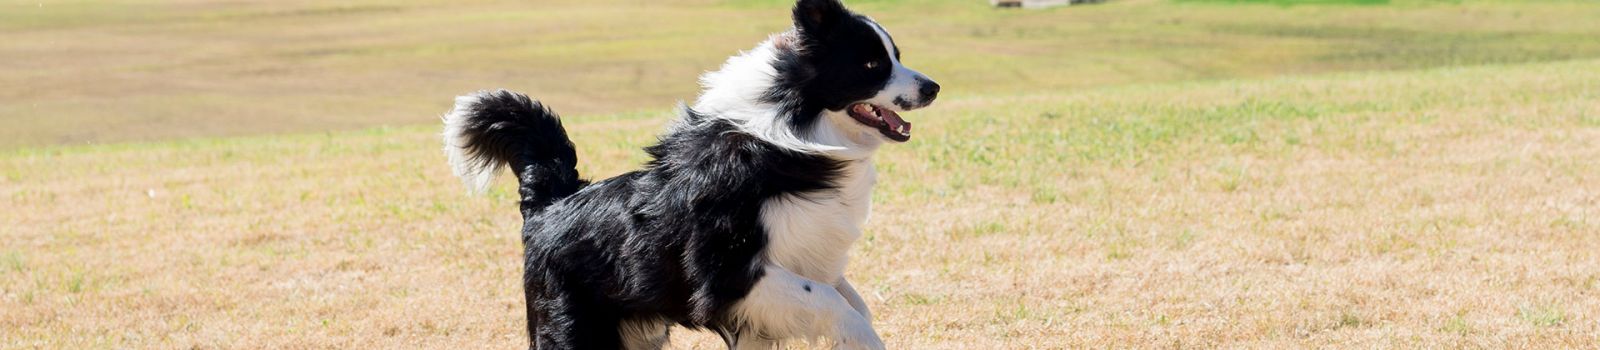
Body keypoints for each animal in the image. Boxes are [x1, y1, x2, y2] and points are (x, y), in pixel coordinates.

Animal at [438, 1, 934, 348]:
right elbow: (836, 305)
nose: (933, 87)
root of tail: (552, 203)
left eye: (895, 55)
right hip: (575, 325)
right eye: (871, 65)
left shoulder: (798, 266)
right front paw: (865, 342)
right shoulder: (728, 274)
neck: (787, 131)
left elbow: (852, 300)